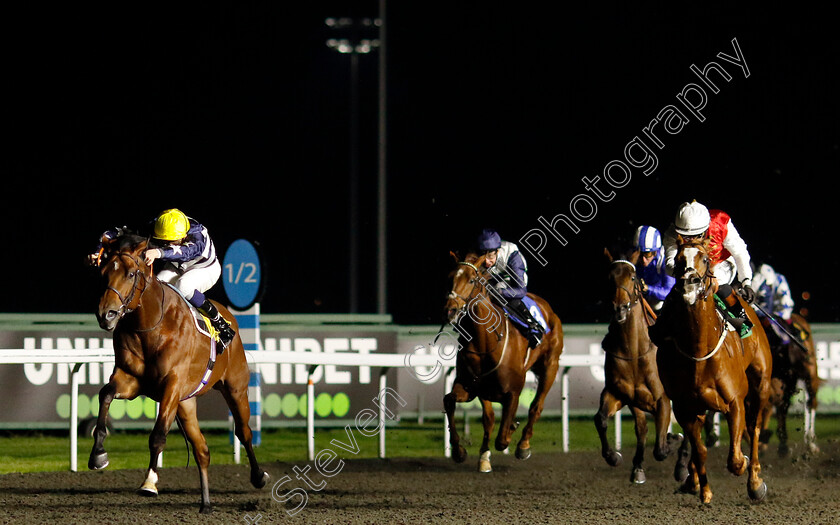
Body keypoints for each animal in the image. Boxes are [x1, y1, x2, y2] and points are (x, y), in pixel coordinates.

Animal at [89, 232, 268, 512]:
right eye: (104, 272)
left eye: (131, 273)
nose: (106, 314)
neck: (151, 323)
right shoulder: (129, 380)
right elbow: (105, 395)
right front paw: (98, 455)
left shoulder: (171, 385)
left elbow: (158, 434)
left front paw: (150, 482)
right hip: (186, 403)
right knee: (202, 449)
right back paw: (205, 504)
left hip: (236, 388)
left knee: (244, 431)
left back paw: (258, 476)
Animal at [440, 252, 564, 472]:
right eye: (449, 278)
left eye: (471, 280)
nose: (450, 310)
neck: (486, 341)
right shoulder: (474, 387)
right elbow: (459, 405)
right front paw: (464, 452)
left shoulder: (513, 392)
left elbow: (502, 439)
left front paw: (512, 431)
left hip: (550, 366)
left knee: (536, 406)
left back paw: (523, 445)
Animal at [592, 250, 684, 484]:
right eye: (609, 279)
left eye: (632, 278)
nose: (620, 309)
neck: (633, 353)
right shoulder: (618, 393)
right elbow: (601, 419)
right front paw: (614, 456)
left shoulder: (663, 400)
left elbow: (661, 449)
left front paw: (673, 439)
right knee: (642, 427)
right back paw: (638, 467)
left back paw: (682, 466)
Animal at [648, 237, 776, 504]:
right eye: (678, 259)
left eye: (705, 258)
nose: (690, 283)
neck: (699, 350)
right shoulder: (685, 408)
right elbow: (700, 450)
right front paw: (703, 490)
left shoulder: (735, 402)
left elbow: (736, 459)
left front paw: (750, 475)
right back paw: (692, 480)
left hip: (761, 383)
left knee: (755, 428)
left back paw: (755, 480)